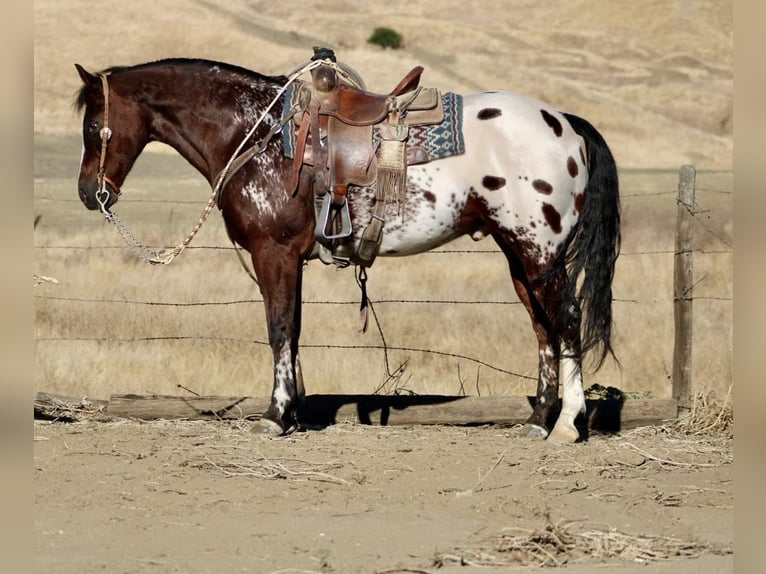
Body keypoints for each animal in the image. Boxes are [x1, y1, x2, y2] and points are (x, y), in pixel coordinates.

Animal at [74, 56, 620, 442]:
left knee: (566, 319)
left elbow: (278, 329)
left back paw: (567, 424)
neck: (256, 133)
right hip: (520, 255)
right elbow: (293, 332)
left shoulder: (273, 253)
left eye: (92, 127)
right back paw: (539, 419)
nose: (88, 193)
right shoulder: (289, 260)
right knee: (542, 327)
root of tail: (562, 121)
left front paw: (275, 415)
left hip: (540, 251)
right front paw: (294, 412)